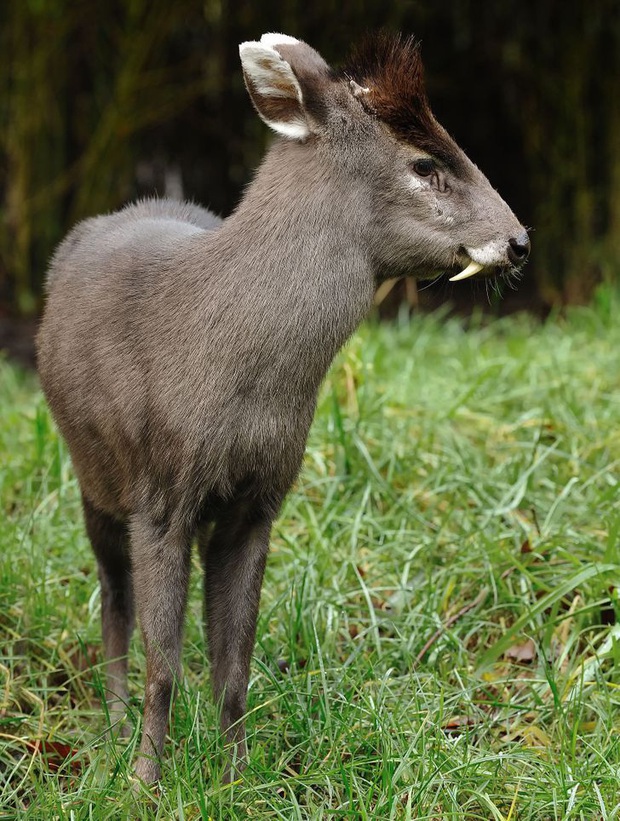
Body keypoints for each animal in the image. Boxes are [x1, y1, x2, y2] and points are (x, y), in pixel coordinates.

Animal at [35, 32, 528, 784]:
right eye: (424, 163)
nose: (519, 240)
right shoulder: (159, 491)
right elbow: (163, 663)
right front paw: (145, 782)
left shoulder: (260, 499)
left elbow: (233, 664)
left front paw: (238, 778)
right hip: (92, 471)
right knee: (113, 593)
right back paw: (113, 728)